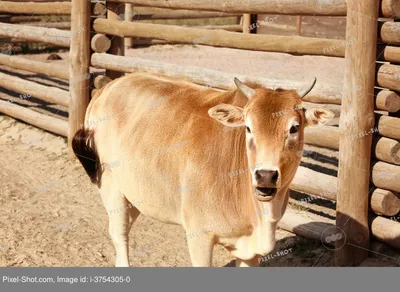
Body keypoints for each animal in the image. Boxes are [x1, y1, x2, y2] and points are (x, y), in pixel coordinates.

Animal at [72, 73, 334, 266]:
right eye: (248, 127)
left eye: (294, 128)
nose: (266, 175)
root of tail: (106, 88)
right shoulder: (199, 236)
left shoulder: (250, 251)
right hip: (111, 185)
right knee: (120, 235)